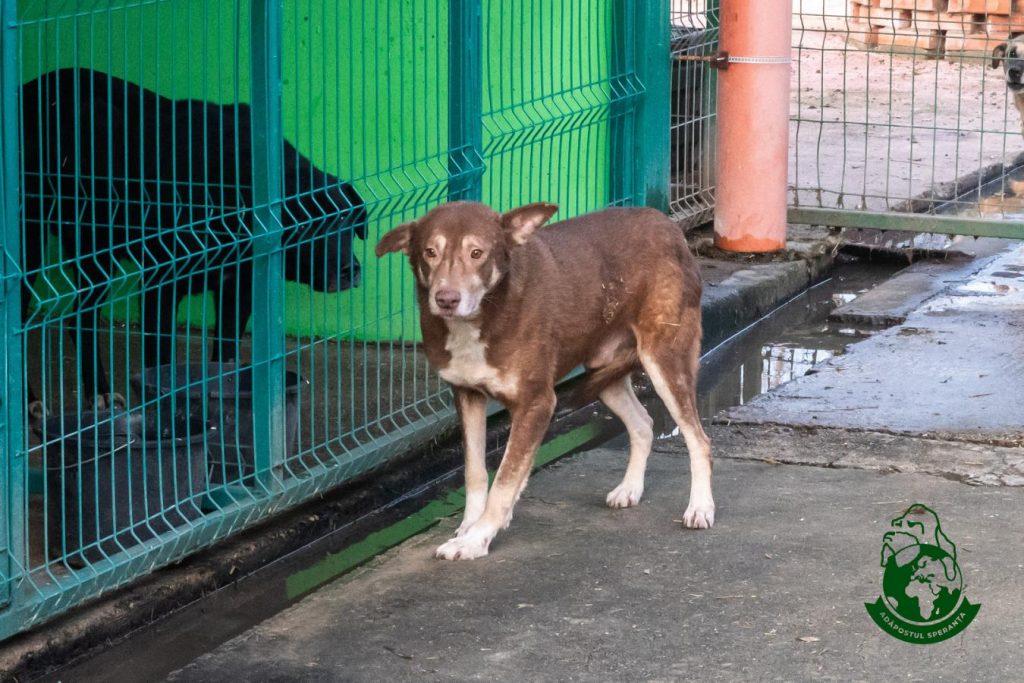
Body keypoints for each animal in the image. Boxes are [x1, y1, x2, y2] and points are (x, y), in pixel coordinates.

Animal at [20, 68, 366, 412]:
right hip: (33, 245)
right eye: (310, 227)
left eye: (348, 222)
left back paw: (99, 391)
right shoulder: (161, 284)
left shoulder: (237, 288)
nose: (350, 270)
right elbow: (159, 363)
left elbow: (225, 356)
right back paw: (29, 402)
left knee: (80, 317)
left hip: (97, 254)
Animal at [375, 201, 713, 560]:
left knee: (699, 440)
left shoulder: (536, 403)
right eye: (430, 252)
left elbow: (504, 480)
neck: (487, 314)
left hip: (666, 361)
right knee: (644, 423)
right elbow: (476, 472)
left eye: (477, 253)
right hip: (605, 374)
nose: (446, 299)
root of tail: (668, 224)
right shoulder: (467, 395)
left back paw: (700, 508)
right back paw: (630, 488)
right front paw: (470, 525)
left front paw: (477, 538)